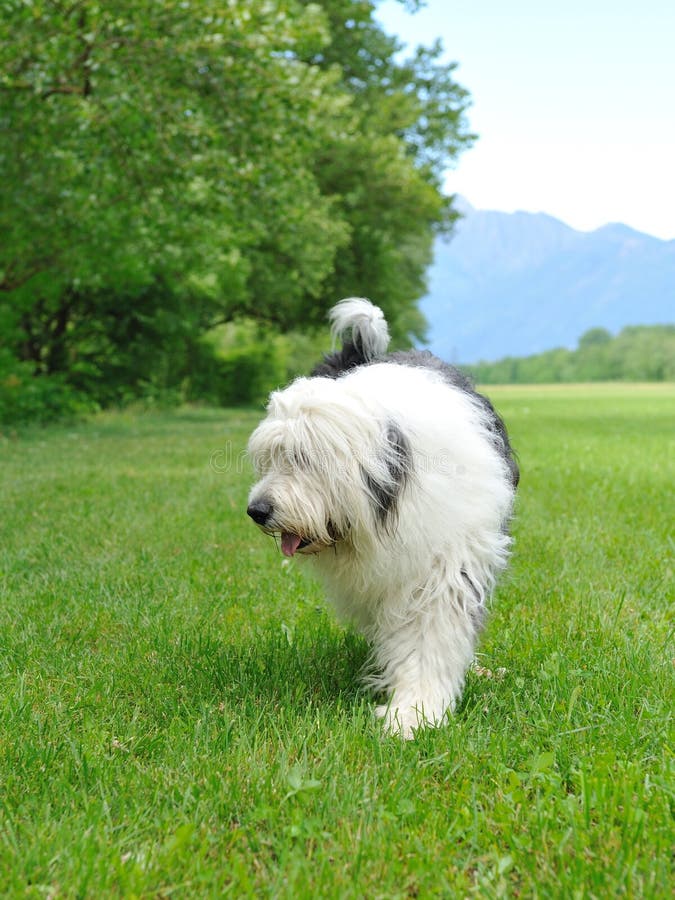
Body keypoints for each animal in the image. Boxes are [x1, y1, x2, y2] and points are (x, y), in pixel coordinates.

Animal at [246, 298, 520, 736]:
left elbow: (432, 632)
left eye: (304, 458)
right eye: (269, 458)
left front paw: (415, 712)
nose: (257, 511)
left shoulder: (446, 561)